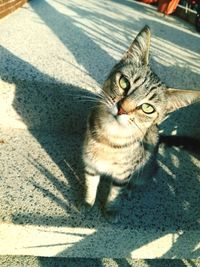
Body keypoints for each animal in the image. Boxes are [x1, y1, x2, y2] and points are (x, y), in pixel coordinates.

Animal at [81, 25, 200, 223]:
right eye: (124, 82)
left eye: (147, 108)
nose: (122, 109)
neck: (109, 138)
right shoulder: (91, 164)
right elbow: (91, 184)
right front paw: (87, 203)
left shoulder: (123, 174)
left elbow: (115, 192)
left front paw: (111, 209)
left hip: (145, 171)